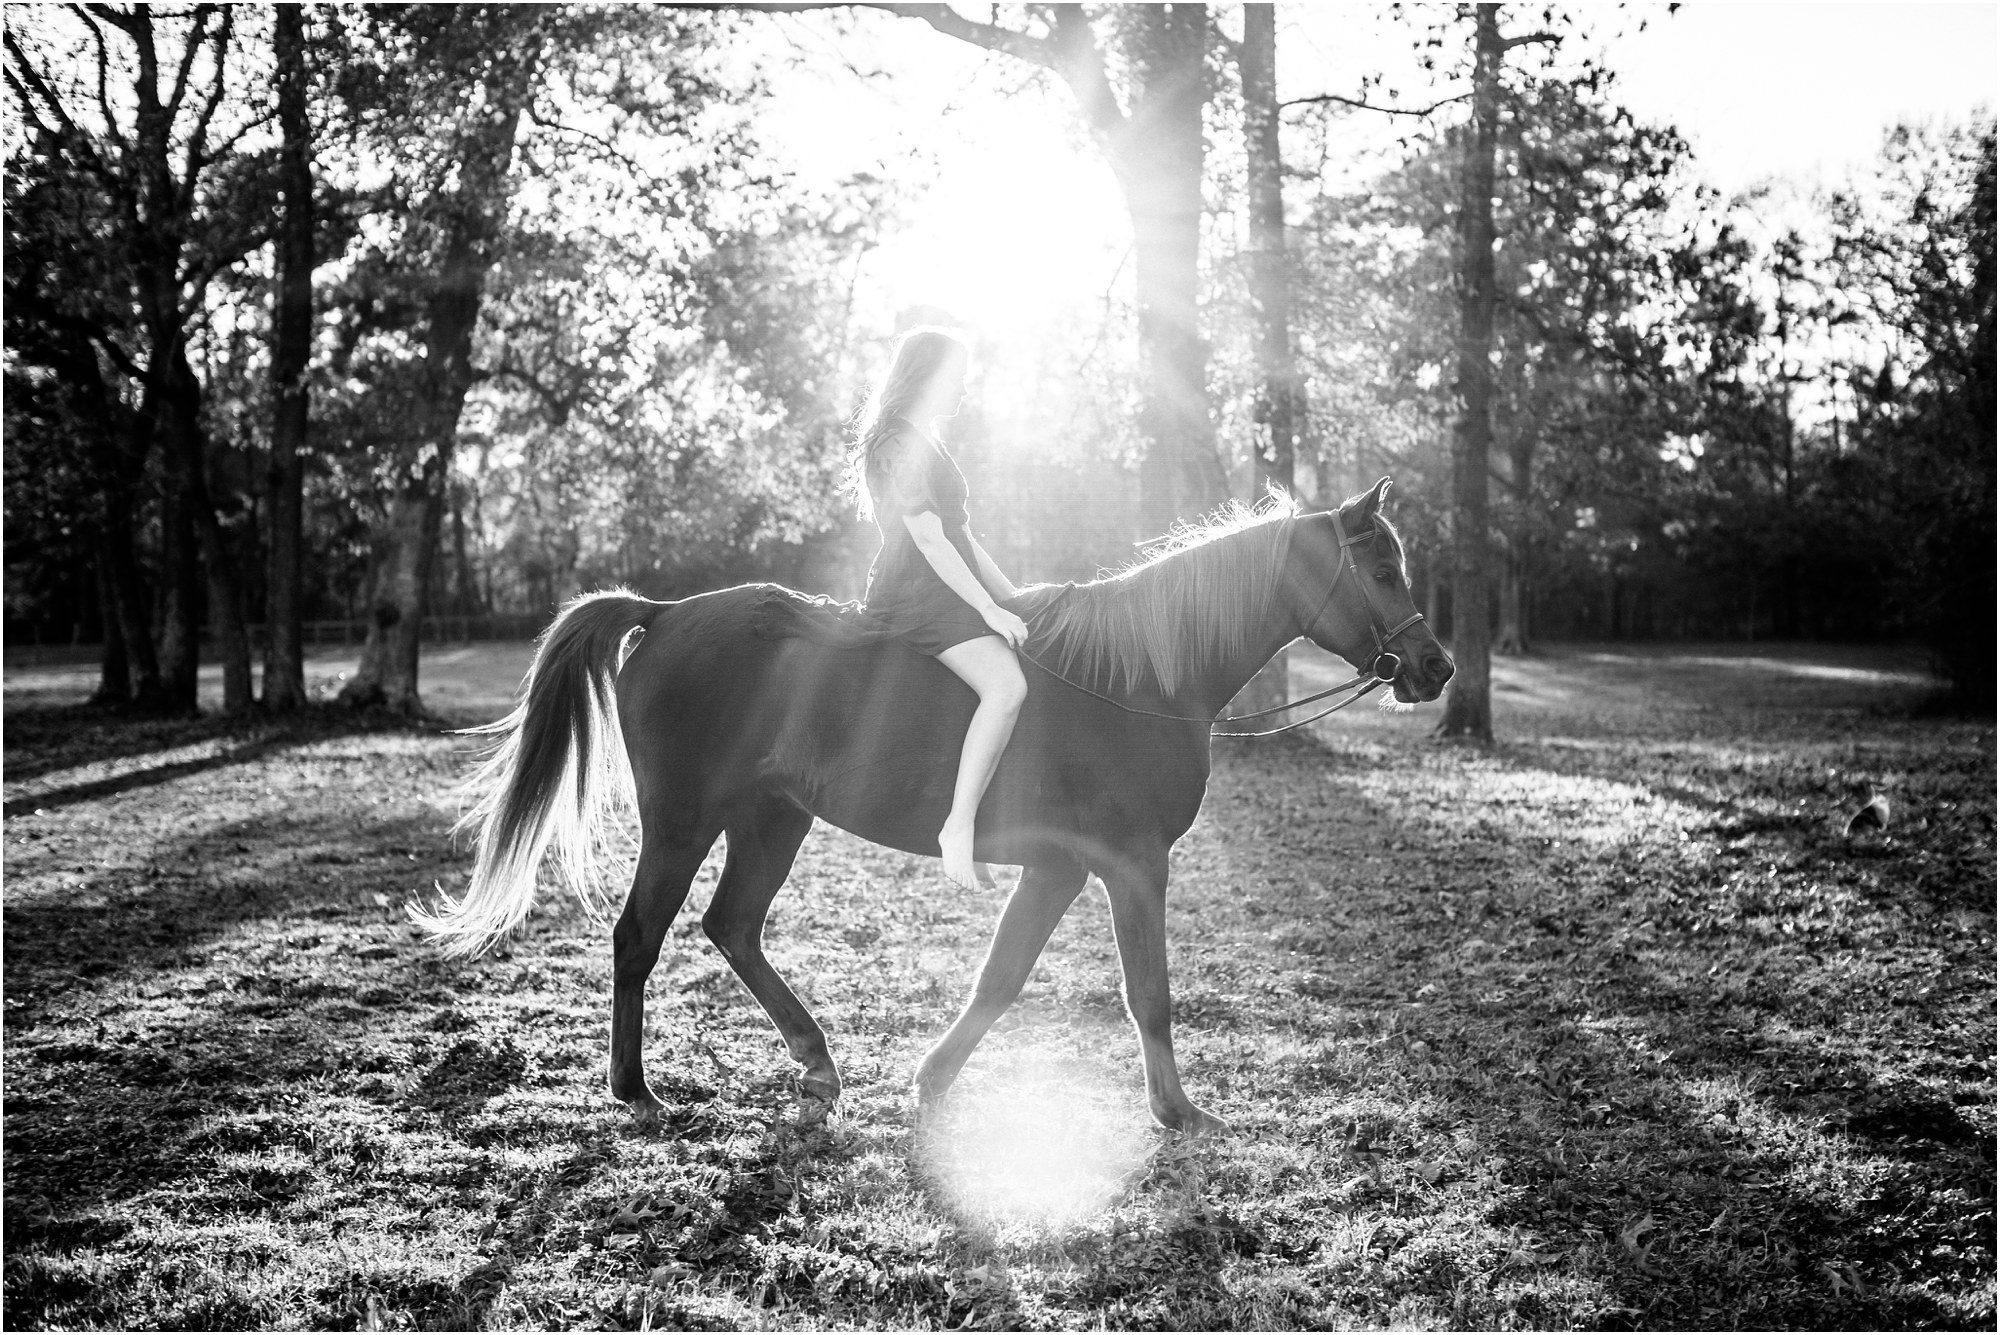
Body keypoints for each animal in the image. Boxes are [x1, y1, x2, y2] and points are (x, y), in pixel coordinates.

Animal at [422, 473, 1456, 1135]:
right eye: (1382, 569)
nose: (1435, 666)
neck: (1138, 681)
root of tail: (668, 613)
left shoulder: (1059, 866)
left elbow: (1000, 976)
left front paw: (932, 1079)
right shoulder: (1129, 865)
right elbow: (1148, 992)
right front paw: (1178, 1111)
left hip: (771, 817)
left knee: (733, 926)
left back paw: (814, 1058)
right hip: (685, 819)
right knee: (641, 935)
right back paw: (636, 1090)